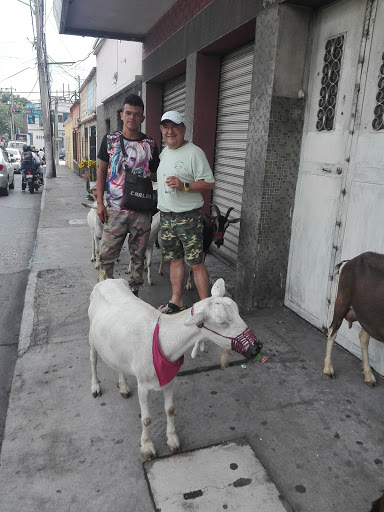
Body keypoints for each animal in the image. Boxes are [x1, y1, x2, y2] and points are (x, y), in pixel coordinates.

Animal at [88, 278, 260, 462]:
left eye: (237, 311)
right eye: (221, 322)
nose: (256, 347)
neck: (162, 339)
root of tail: (106, 280)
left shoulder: (170, 379)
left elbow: (170, 410)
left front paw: (172, 441)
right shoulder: (143, 384)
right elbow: (146, 419)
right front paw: (147, 447)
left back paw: (123, 387)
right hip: (91, 334)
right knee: (93, 360)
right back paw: (96, 387)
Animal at [324, 250, 384, 386]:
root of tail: (349, 262)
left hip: (367, 315)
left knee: (363, 337)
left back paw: (368, 376)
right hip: (342, 300)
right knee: (332, 330)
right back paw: (328, 369)